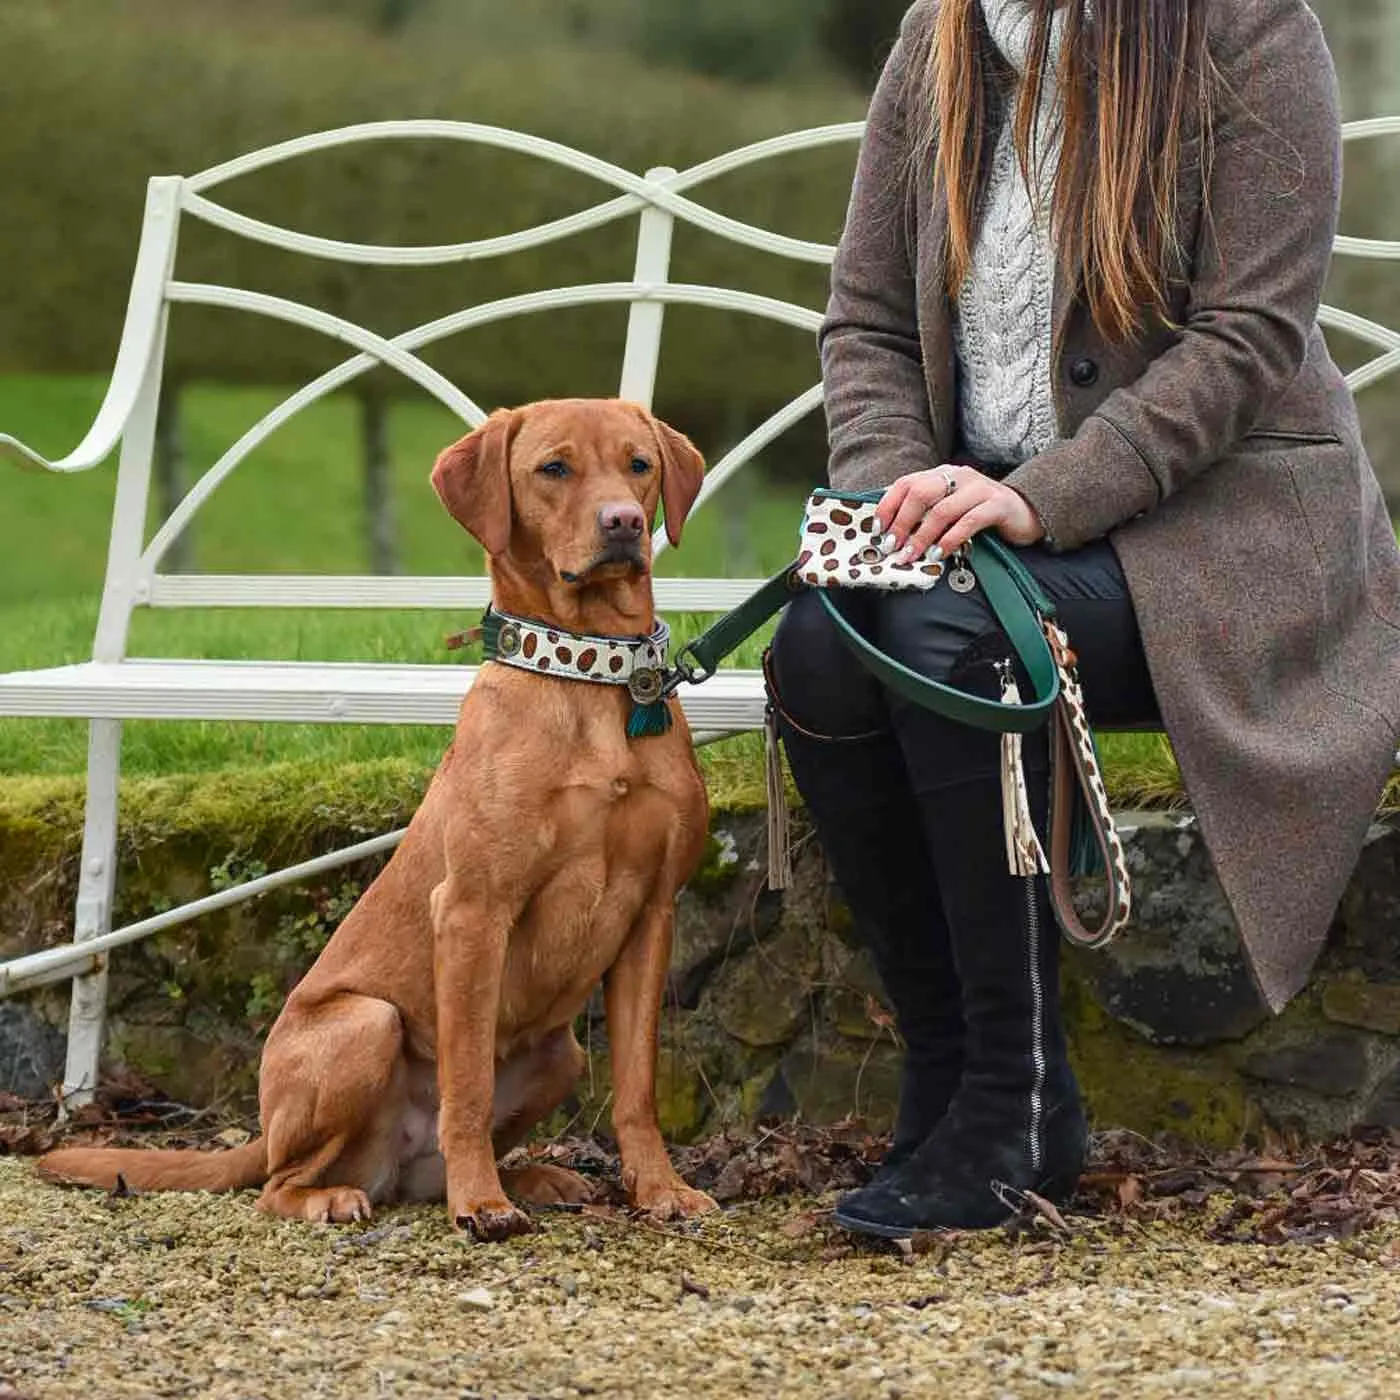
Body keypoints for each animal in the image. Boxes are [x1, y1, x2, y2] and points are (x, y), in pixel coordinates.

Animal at [40, 400, 722, 1243]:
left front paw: (659, 1190)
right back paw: (350, 1196)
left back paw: (532, 1176)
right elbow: (466, 1085)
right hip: (367, 1024)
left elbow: (637, 1088)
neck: (590, 678)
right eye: (554, 468)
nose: (623, 523)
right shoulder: (471, 913)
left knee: (418, 1174)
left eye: (639, 466)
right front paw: (482, 1204)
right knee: (280, 1182)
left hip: (559, 1055)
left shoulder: (651, 916)